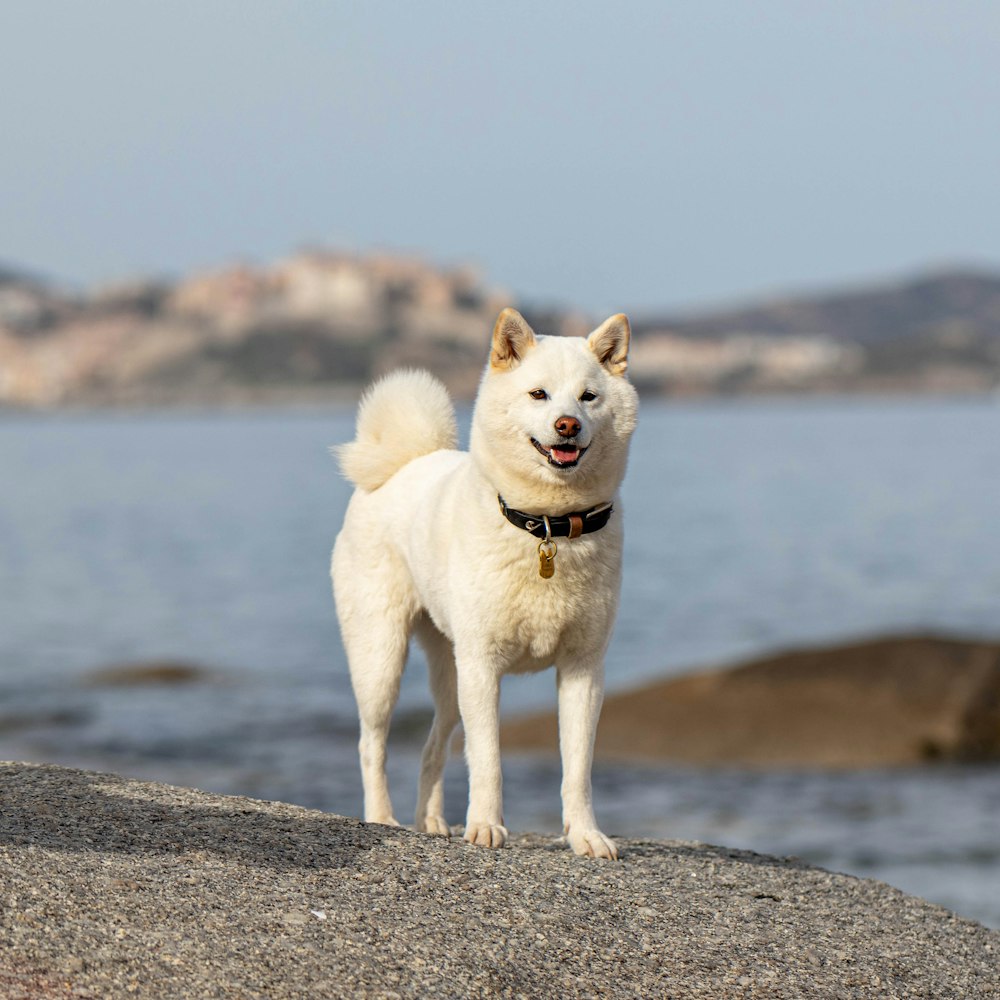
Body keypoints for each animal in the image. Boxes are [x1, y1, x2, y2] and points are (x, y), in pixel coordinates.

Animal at [332, 306, 636, 860]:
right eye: (538, 394)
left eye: (588, 396)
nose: (567, 426)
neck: (547, 528)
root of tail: (405, 464)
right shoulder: (483, 666)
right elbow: (488, 758)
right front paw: (486, 828)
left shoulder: (583, 670)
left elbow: (577, 768)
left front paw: (585, 835)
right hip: (381, 659)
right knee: (372, 742)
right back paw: (382, 817)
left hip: (449, 674)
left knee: (433, 745)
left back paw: (431, 821)